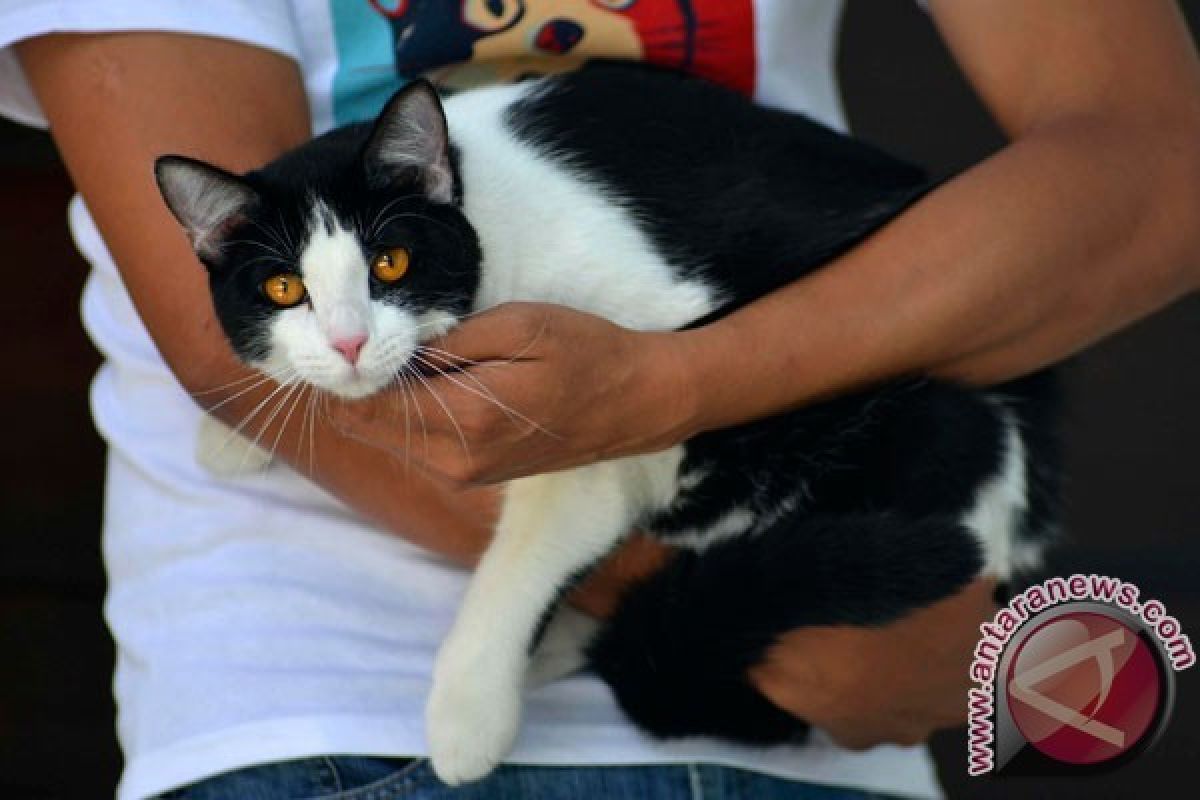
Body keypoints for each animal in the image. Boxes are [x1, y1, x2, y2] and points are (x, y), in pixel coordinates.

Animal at [157, 61, 1060, 782]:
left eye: (391, 262)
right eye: (283, 288)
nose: (348, 341)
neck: (486, 208)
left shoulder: (634, 384)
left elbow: (544, 534)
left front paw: (468, 712)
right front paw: (242, 426)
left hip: (922, 425)